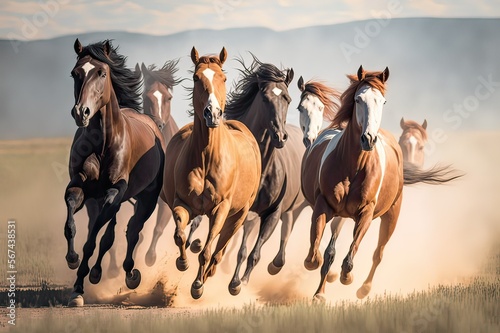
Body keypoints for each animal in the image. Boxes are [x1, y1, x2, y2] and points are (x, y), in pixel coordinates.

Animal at [63, 37, 165, 304]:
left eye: (102, 72)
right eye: (74, 73)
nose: (81, 112)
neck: (103, 143)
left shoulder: (114, 192)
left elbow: (95, 239)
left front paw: (82, 280)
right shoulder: (80, 187)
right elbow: (73, 219)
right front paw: (74, 264)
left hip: (148, 198)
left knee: (132, 231)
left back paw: (131, 273)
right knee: (111, 231)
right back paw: (98, 271)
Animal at [137, 61, 203, 266]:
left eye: (168, 97)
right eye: (145, 95)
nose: (157, 124)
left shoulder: (167, 202)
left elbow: (158, 228)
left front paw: (150, 258)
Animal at [160, 46, 262, 298]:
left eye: (223, 78)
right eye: (196, 78)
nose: (212, 113)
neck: (207, 159)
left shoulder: (221, 209)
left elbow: (208, 251)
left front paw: (197, 285)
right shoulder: (182, 203)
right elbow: (179, 235)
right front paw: (182, 263)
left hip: (238, 215)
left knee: (218, 251)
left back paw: (212, 277)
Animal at [226, 55, 310, 294]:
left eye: (288, 99)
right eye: (264, 98)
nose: (280, 136)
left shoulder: (271, 213)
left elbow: (253, 253)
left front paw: (239, 283)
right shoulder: (241, 212)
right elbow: (238, 248)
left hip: (290, 209)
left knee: (286, 229)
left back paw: (275, 265)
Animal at [300, 66, 460, 300]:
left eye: (382, 101)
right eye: (358, 99)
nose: (368, 138)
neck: (354, 165)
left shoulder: (366, 212)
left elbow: (351, 253)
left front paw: (347, 277)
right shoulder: (324, 205)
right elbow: (316, 254)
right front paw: (320, 283)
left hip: (392, 215)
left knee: (379, 253)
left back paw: (363, 288)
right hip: (341, 216)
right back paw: (323, 287)